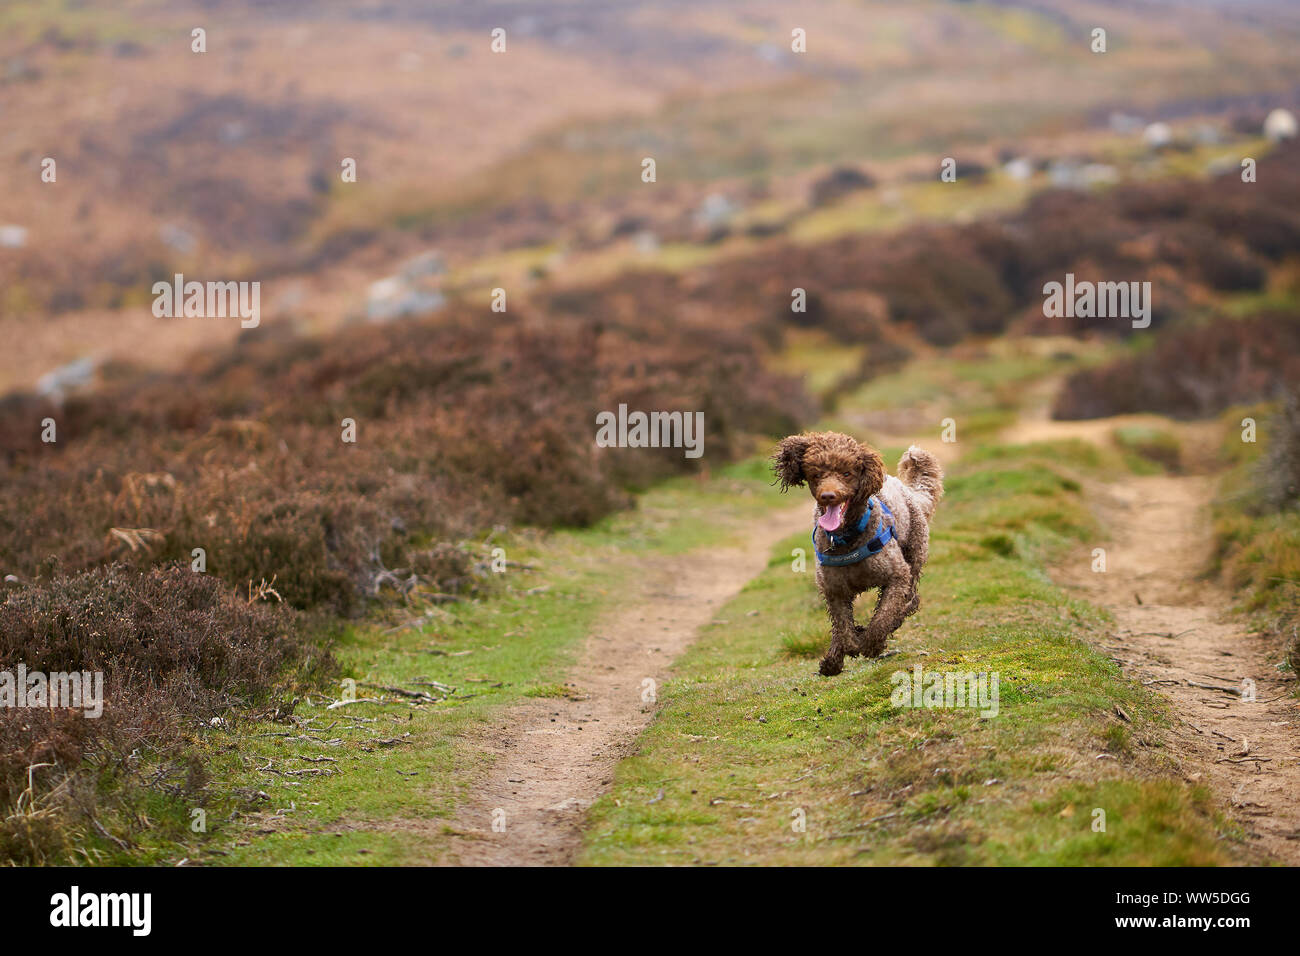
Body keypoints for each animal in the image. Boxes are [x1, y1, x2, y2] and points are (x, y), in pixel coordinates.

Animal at [769, 429, 946, 676]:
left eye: (847, 473)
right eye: (816, 473)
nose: (828, 495)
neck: (847, 538)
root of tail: (910, 491)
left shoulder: (897, 576)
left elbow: (883, 617)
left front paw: (872, 644)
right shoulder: (834, 590)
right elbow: (843, 630)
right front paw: (849, 645)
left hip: (914, 555)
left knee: (910, 601)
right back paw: (833, 659)